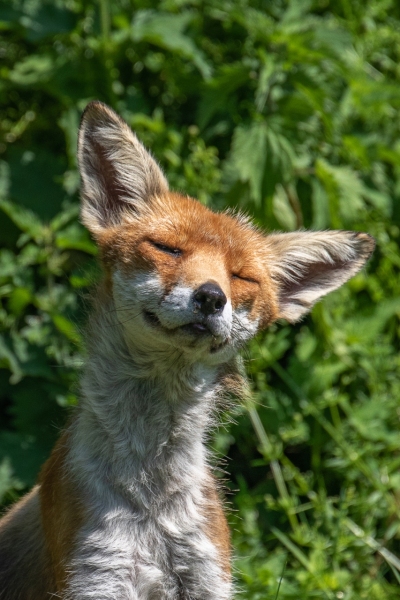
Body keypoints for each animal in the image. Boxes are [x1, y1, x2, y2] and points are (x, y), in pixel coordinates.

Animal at [0, 101, 376, 596]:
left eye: (242, 277)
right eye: (167, 248)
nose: (211, 297)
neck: (150, 498)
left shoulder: (206, 572)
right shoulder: (97, 573)